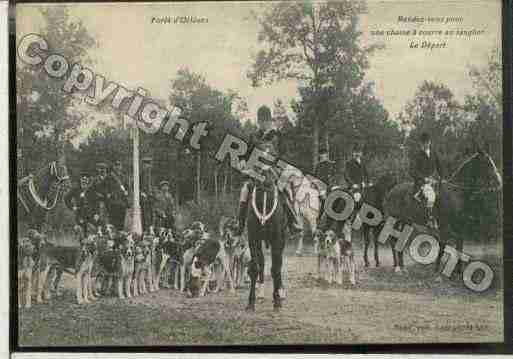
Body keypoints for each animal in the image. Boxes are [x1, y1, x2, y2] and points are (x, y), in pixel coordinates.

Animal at [245, 167, 286, 314]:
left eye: (271, 195)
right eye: (257, 194)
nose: (263, 221)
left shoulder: (277, 239)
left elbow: (275, 269)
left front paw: (277, 300)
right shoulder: (253, 239)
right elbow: (254, 268)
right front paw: (251, 303)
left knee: (279, 264)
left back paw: (281, 291)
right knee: (262, 262)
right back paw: (261, 294)